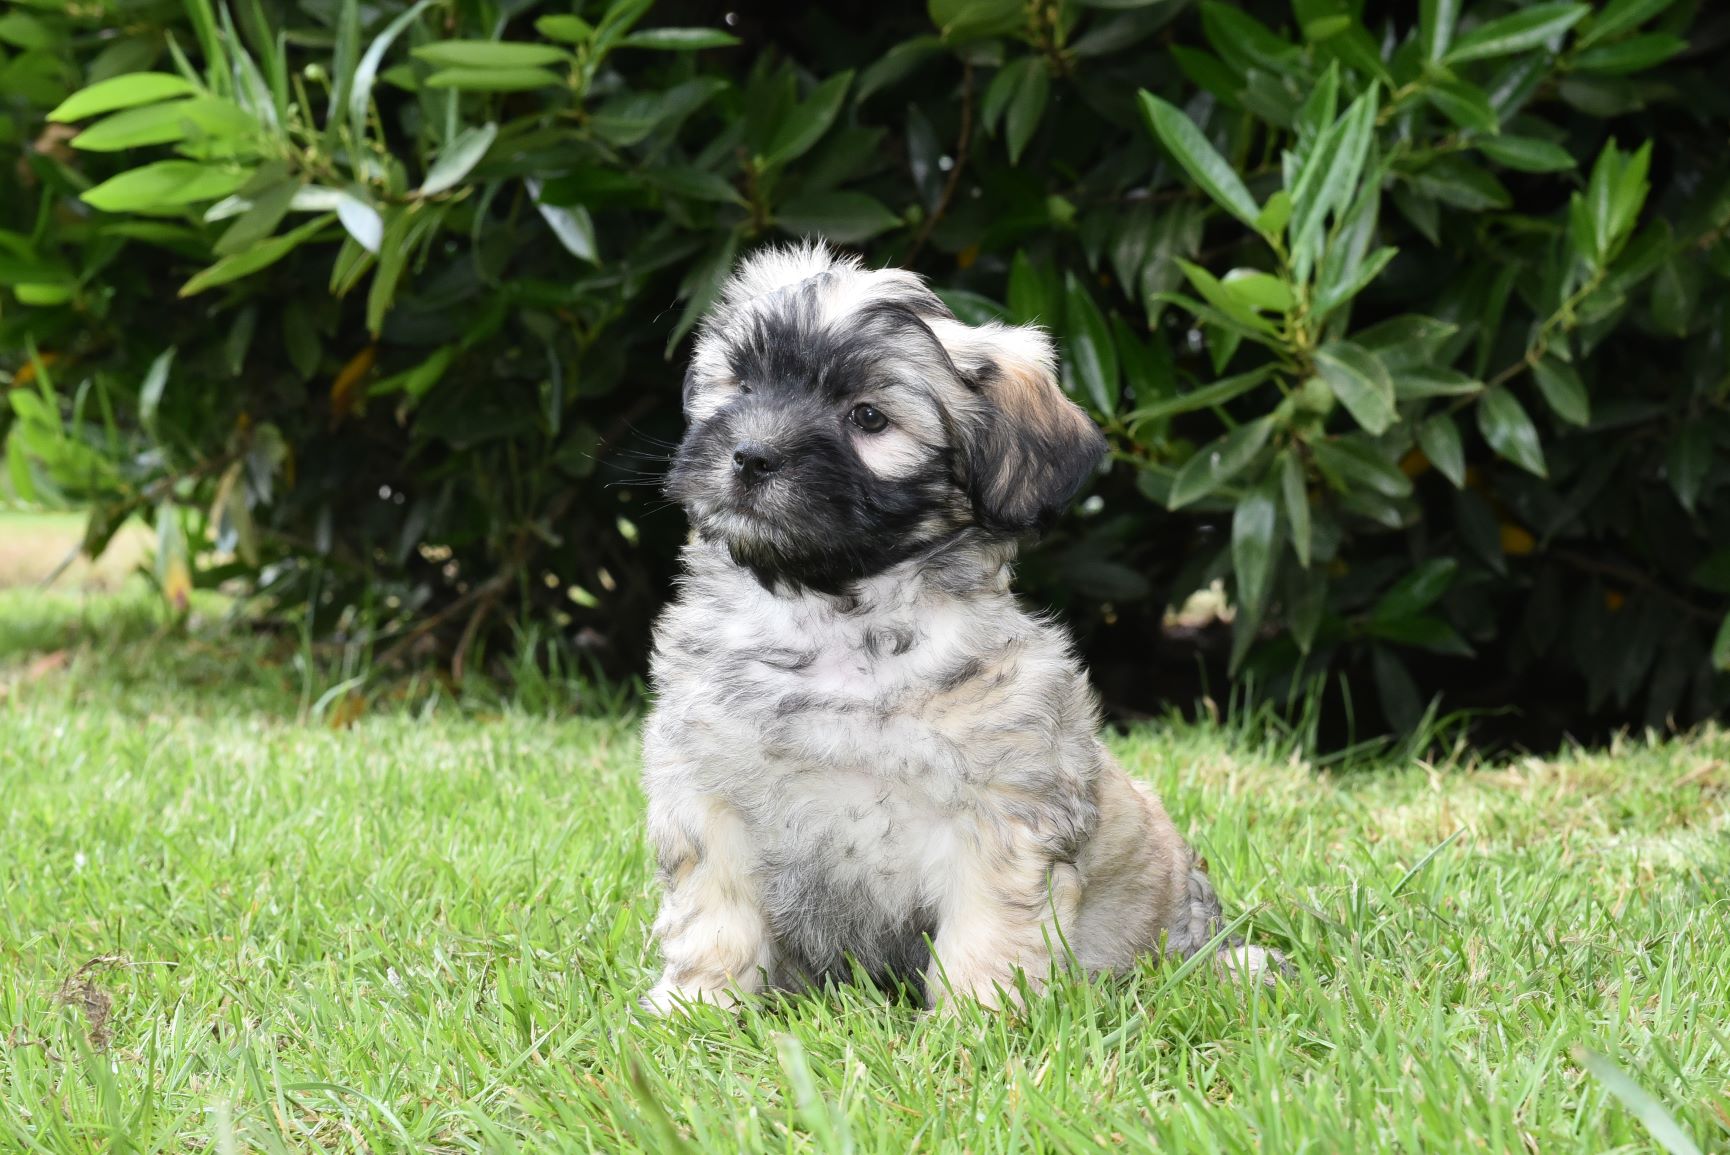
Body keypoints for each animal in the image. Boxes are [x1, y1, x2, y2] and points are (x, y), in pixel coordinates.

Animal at [643, 242, 1280, 1009]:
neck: (837, 619)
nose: (749, 455)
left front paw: (976, 1018)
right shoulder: (710, 799)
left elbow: (987, 928)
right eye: (739, 384)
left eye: (867, 417)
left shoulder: (1001, 815)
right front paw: (696, 1008)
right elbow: (717, 916)